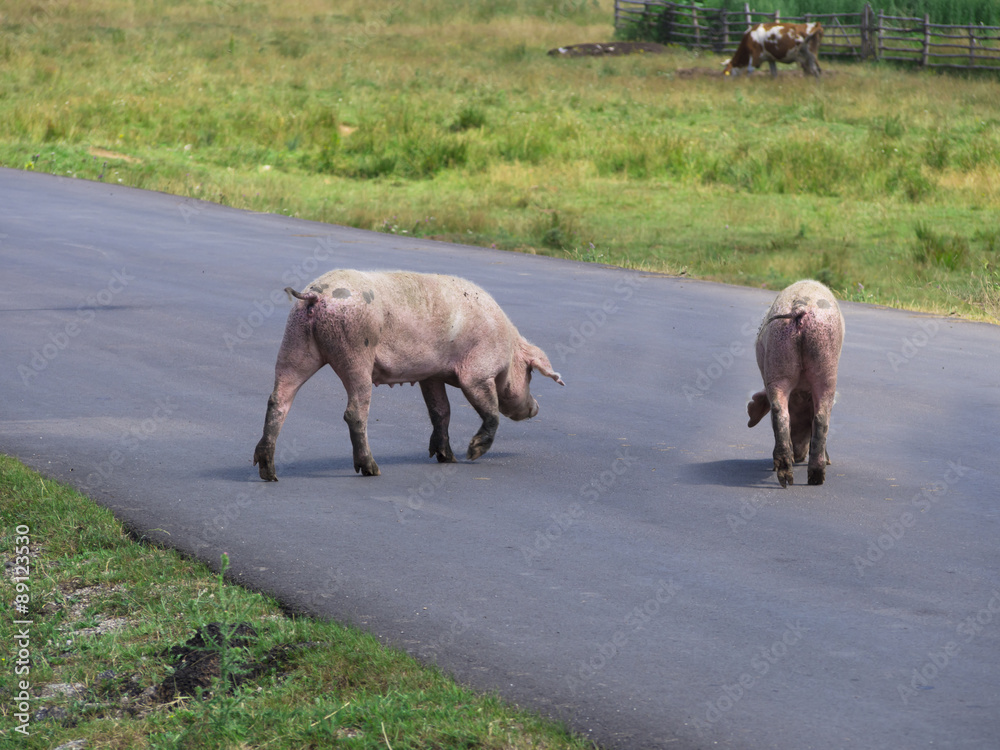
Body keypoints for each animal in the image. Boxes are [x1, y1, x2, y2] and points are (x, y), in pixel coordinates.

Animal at [253, 270, 565, 480]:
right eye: (530, 373)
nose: (536, 408)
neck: (508, 344)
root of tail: (316, 295)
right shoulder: (477, 372)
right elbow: (491, 412)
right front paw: (470, 454)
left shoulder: (431, 375)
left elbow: (441, 412)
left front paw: (448, 459)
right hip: (355, 351)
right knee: (354, 412)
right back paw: (372, 469)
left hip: (295, 343)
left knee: (278, 400)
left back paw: (269, 473)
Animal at [747, 279, 845, 487]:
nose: (799, 456)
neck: (800, 392)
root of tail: (800, 308)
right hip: (826, 365)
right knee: (821, 417)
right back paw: (815, 477)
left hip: (780, 362)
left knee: (781, 413)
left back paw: (790, 476)